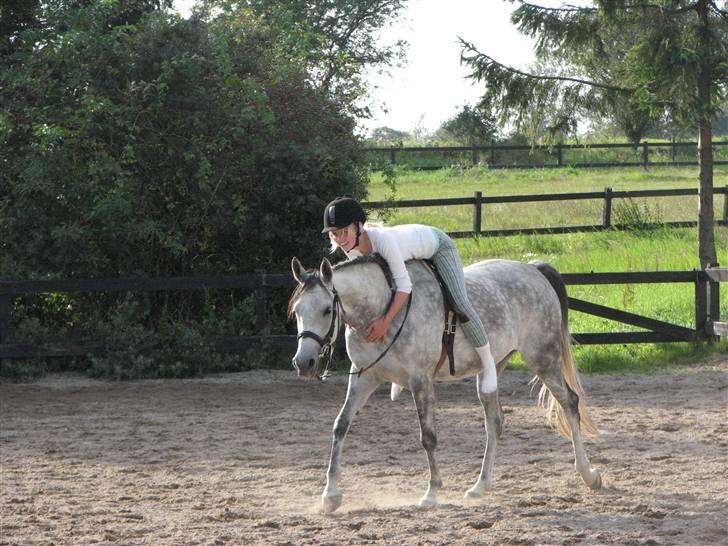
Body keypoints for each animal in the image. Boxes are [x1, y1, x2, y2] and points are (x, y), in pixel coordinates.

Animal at [288, 254, 600, 510]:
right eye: (297, 311)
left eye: (327, 310)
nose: (304, 363)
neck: (382, 310)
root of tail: (534, 270)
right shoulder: (365, 376)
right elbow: (340, 426)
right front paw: (330, 495)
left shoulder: (420, 381)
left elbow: (428, 437)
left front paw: (431, 493)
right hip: (492, 370)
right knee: (495, 422)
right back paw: (479, 487)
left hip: (543, 360)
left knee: (570, 403)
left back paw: (589, 475)